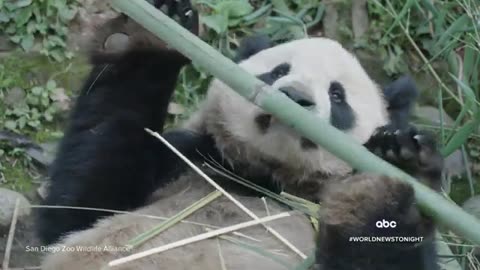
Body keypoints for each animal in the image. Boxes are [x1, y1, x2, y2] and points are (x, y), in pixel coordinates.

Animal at [35, 1, 444, 268]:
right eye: (278, 71)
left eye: (337, 95)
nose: (295, 98)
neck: (264, 180)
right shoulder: (192, 160)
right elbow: (79, 207)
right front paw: (154, 30)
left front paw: (394, 169)